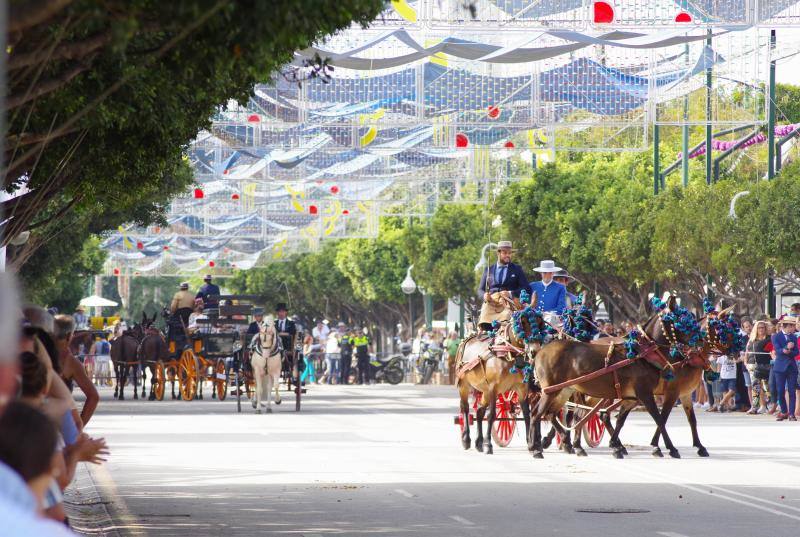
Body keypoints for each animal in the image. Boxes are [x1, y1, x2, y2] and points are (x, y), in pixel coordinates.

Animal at [456, 296, 544, 454]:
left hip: (483, 390)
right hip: (464, 385)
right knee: (465, 408)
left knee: (479, 411)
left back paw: (478, 442)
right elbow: (491, 415)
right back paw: (466, 439)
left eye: (539, 322)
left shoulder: (522, 389)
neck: (509, 352)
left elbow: (527, 415)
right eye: (522, 322)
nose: (534, 351)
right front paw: (488, 445)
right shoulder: (493, 388)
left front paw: (531, 444)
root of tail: (468, 338)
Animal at [528, 296, 692, 458]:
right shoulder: (645, 393)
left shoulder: (631, 397)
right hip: (551, 391)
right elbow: (659, 419)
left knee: (550, 414)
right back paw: (536, 448)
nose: (695, 342)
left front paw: (616, 446)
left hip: (564, 390)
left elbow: (618, 419)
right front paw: (670, 449)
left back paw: (556, 443)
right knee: (537, 414)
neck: (642, 354)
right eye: (680, 320)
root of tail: (541, 351)